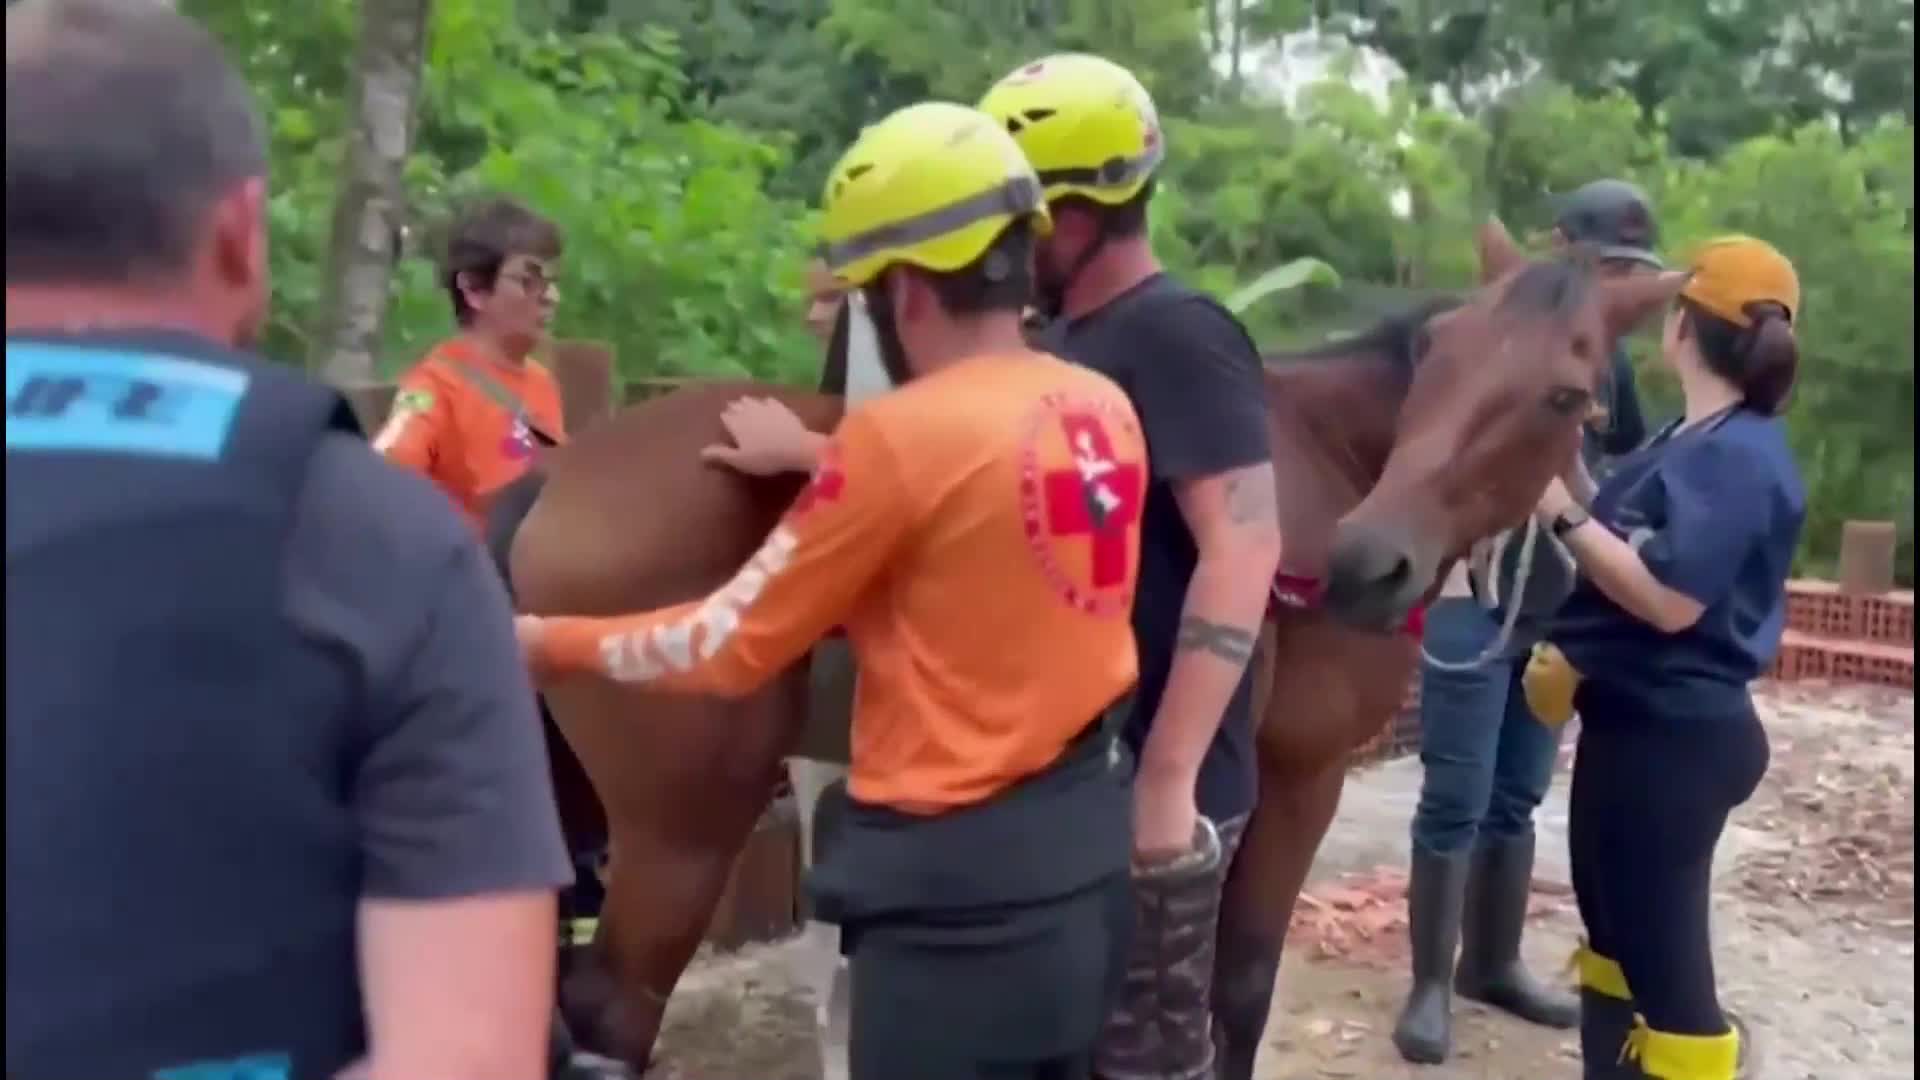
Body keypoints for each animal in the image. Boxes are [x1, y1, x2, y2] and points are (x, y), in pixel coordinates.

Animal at [503, 222, 1689, 1068]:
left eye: (1564, 392)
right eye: (1437, 353)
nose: (1370, 563)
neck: (1314, 472)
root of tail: (553, 482)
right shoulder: (1297, 780)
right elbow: (1238, 989)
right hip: (678, 840)